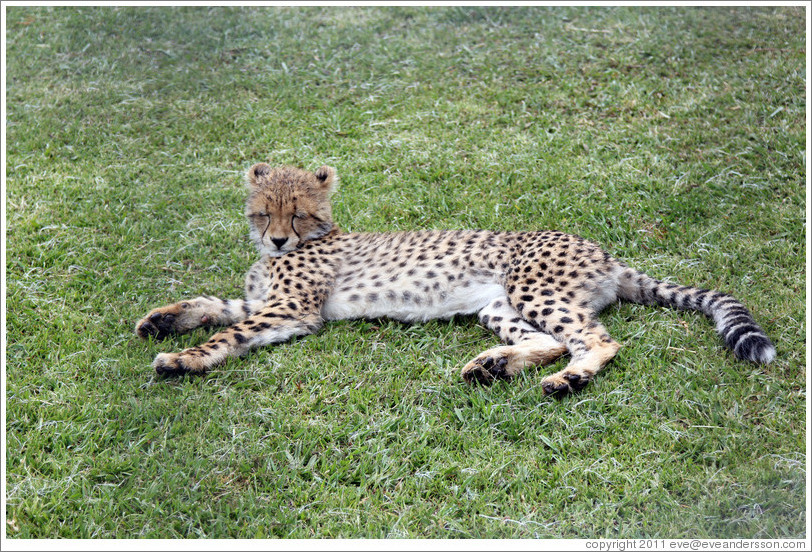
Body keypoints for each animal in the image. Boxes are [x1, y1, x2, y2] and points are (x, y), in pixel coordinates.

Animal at [135, 163, 776, 396]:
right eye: (263, 211)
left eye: (297, 214)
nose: (276, 241)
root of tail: (605, 252)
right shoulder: (266, 303)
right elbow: (215, 304)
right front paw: (163, 319)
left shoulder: (295, 310)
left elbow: (227, 334)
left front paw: (183, 359)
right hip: (496, 304)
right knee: (548, 340)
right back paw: (494, 366)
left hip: (532, 287)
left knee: (596, 339)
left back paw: (567, 379)